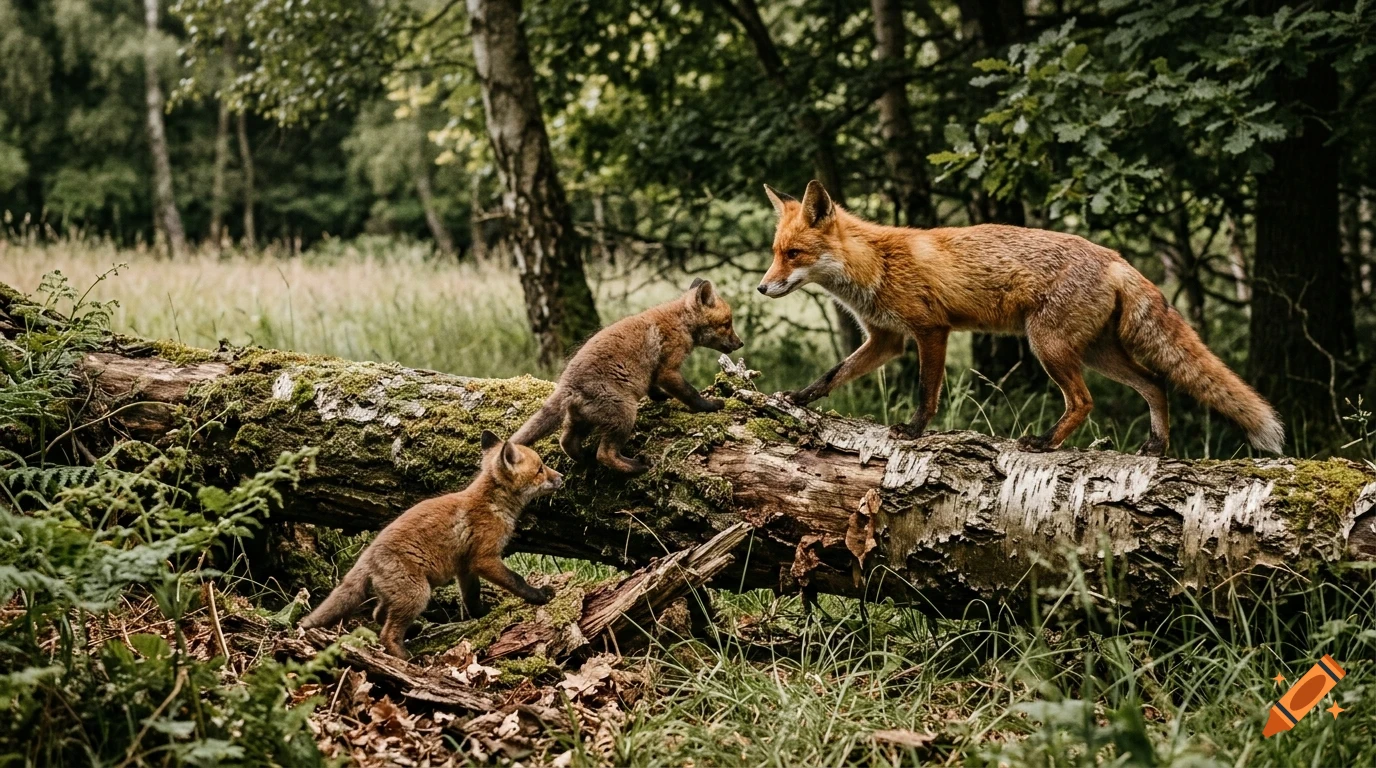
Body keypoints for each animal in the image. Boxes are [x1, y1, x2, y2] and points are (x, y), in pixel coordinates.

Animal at [298, 430, 563, 659]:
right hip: (418, 593)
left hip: (404, 594)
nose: (561, 477)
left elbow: (471, 597)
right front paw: (539, 595)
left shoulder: (465, 567)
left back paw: (413, 630)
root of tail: (367, 555)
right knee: (386, 632)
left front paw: (482, 615)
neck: (492, 504)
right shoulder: (484, 558)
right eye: (540, 469)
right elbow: (516, 580)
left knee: (377, 613)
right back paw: (405, 657)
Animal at [511, 279, 744, 474]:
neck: (680, 322)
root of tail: (567, 384)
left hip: (583, 420)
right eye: (727, 324)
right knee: (605, 454)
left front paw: (662, 397)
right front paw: (710, 406)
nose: (740, 343)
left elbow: (653, 389)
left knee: (567, 442)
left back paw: (585, 460)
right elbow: (691, 393)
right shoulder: (668, 370)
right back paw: (636, 467)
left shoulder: (653, 374)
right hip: (625, 415)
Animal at [756, 180, 1284, 457]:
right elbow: (833, 374)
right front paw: (798, 398)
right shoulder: (886, 340)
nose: (762, 288)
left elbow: (927, 391)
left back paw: (1045, 442)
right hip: (1096, 353)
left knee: (1085, 402)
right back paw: (1156, 447)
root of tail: (1116, 258)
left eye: (793, 254)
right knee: (1155, 382)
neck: (877, 264)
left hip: (1047, 346)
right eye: (775, 253)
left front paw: (914, 430)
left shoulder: (930, 331)